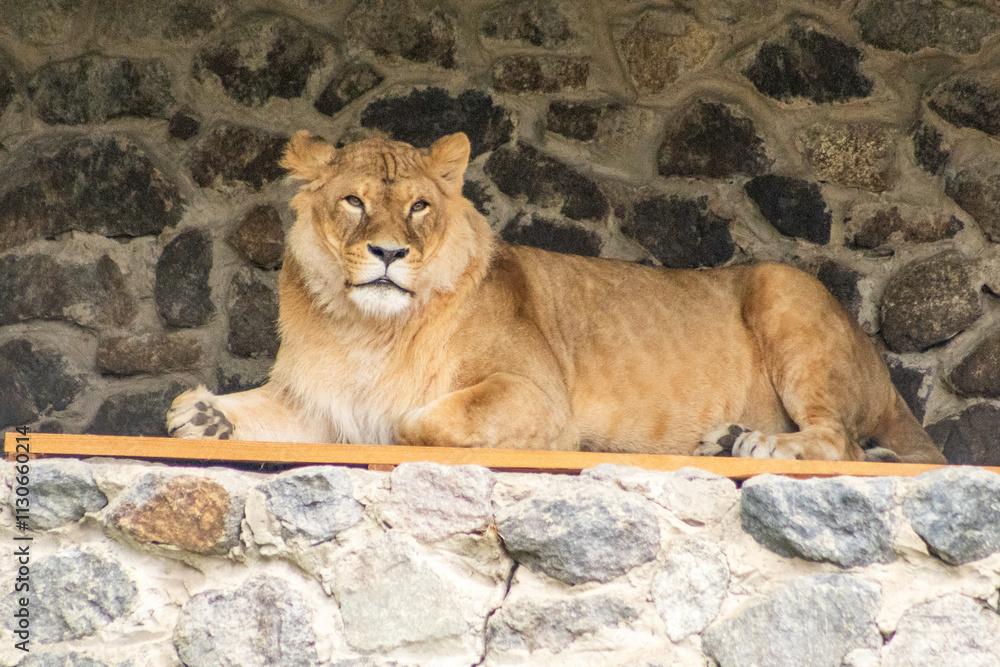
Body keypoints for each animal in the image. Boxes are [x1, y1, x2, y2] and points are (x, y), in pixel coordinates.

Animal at [166, 131, 946, 464]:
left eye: (419, 207)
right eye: (354, 201)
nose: (389, 254)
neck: (367, 328)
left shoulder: (538, 398)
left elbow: (419, 418)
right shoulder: (315, 398)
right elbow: (245, 412)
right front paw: (203, 415)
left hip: (786, 290)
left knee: (841, 440)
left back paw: (758, 442)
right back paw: (727, 438)